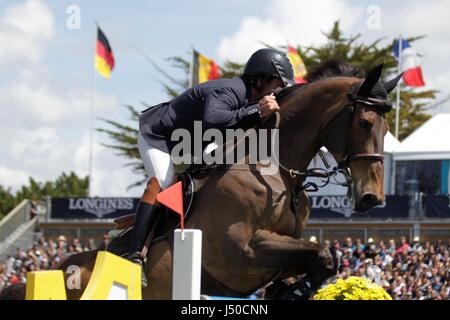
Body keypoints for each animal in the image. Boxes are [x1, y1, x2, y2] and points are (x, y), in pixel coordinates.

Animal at [0, 63, 400, 300]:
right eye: (365, 123)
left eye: (386, 129)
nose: (371, 198)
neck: (276, 169)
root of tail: (60, 268)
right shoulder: (244, 251)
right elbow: (322, 253)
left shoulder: (282, 251)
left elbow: (324, 259)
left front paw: (289, 291)